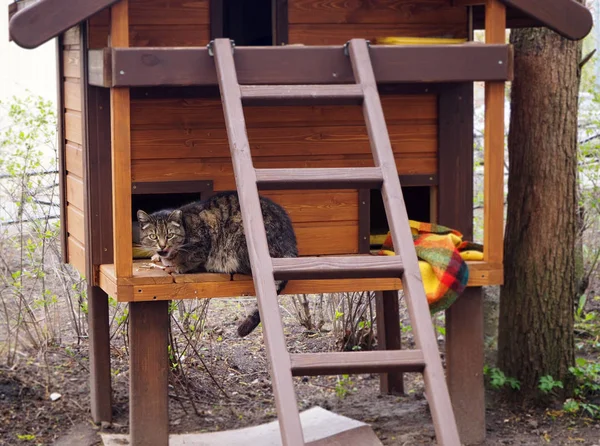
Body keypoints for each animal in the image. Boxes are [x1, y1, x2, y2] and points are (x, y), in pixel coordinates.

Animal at [135, 190, 296, 336]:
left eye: (170, 235)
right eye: (153, 236)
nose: (162, 246)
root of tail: (290, 245)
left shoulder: (203, 242)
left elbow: (194, 258)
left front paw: (179, 266)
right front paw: (157, 257)